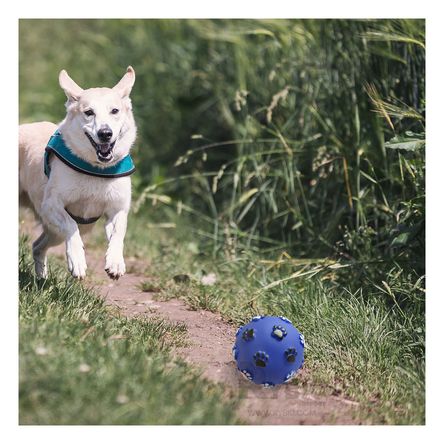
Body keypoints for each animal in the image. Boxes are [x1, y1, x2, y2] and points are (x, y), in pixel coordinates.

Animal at [19, 67, 137, 280]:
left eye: (115, 111)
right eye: (89, 112)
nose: (105, 133)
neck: (96, 169)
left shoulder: (117, 209)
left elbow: (118, 233)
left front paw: (115, 263)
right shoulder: (51, 205)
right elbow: (70, 225)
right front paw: (78, 261)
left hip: (56, 232)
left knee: (37, 246)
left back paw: (41, 278)